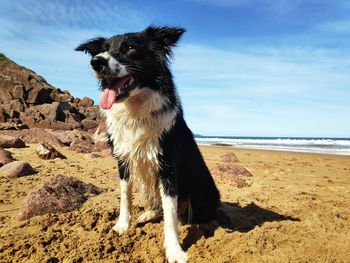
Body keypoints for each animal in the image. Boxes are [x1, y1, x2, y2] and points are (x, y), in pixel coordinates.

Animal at [76, 25, 219, 263]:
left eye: (130, 48)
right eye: (104, 48)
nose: (96, 61)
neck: (135, 110)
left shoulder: (167, 166)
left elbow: (170, 213)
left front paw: (174, 250)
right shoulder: (123, 160)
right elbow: (125, 197)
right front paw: (122, 226)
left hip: (203, 188)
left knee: (198, 214)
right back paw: (148, 214)